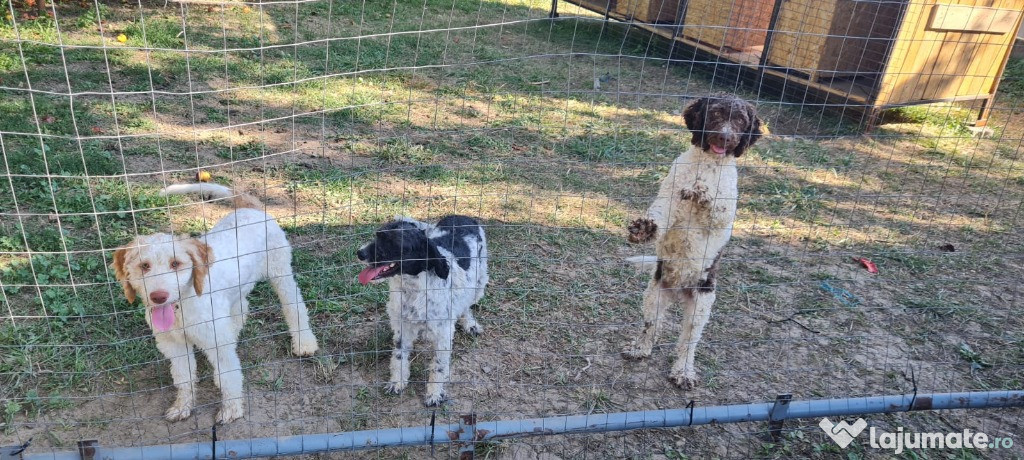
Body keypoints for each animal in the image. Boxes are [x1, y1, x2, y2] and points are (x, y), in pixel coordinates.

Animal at [111, 182, 315, 422]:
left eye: (175, 264)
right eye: (144, 266)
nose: (158, 297)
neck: (183, 306)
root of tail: (250, 208)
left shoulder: (216, 343)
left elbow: (228, 377)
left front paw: (231, 410)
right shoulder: (173, 344)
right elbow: (184, 377)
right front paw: (182, 406)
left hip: (280, 271)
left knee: (294, 305)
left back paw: (305, 343)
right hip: (236, 291)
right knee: (241, 310)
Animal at [358, 213, 489, 403]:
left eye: (393, 243)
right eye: (377, 235)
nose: (359, 253)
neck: (413, 289)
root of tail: (461, 215)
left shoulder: (443, 334)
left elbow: (439, 366)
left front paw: (434, 393)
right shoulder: (402, 327)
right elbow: (399, 357)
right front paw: (397, 382)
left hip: (479, 283)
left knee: (466, 304)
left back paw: (470, 323)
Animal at [618, 93, 765, 387]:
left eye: (740, 120)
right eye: (716, 114)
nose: (724, 138)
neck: (707, 165)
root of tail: (678, 292)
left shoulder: (722, 217)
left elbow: (716, 207)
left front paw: (703, 192)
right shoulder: (669, 200)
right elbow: (661, 214)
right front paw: (644, 228)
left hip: (700, 307)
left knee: (687, 343)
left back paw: (683, 372)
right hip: (654, 296)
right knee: (651, 328)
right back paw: (640, 349)